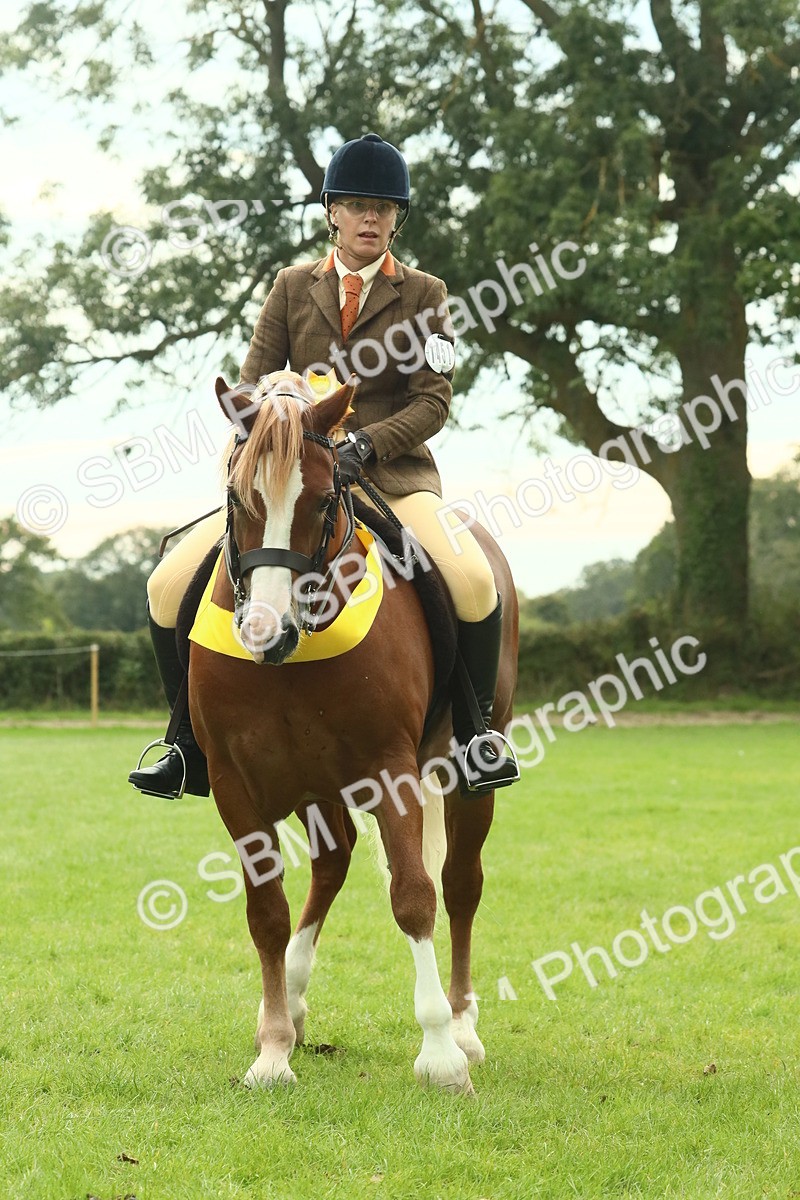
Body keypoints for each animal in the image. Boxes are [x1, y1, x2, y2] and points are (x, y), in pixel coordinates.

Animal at [185, 369, 519, 1094]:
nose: (267, 634)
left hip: (464, 773)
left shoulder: (392, 770)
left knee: (460, 883)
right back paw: (293, 1006)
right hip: (316, 781)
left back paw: (464, 1026)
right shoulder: (235, 782)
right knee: (333, 863)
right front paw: (272, 1050)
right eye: (238, 495)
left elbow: (415, 896)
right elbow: (267, 912)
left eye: (320, 500)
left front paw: (440, 1055)